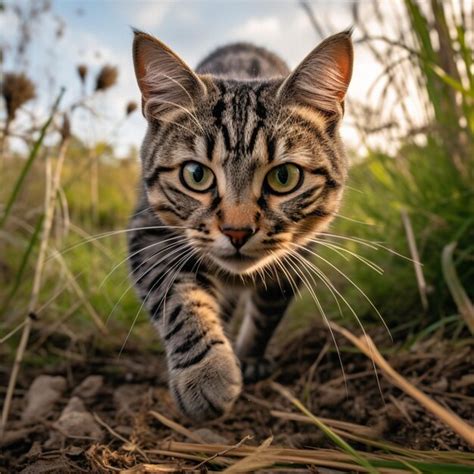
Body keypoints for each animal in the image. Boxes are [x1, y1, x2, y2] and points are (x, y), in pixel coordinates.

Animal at [128, 28, 354, 422]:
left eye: (284, 176)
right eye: (196, 174)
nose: (237, 231)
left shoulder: (297, 257)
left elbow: (268, 313)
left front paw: (248, 357)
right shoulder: (151, 233)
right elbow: (180, 299)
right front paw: (207, 371)